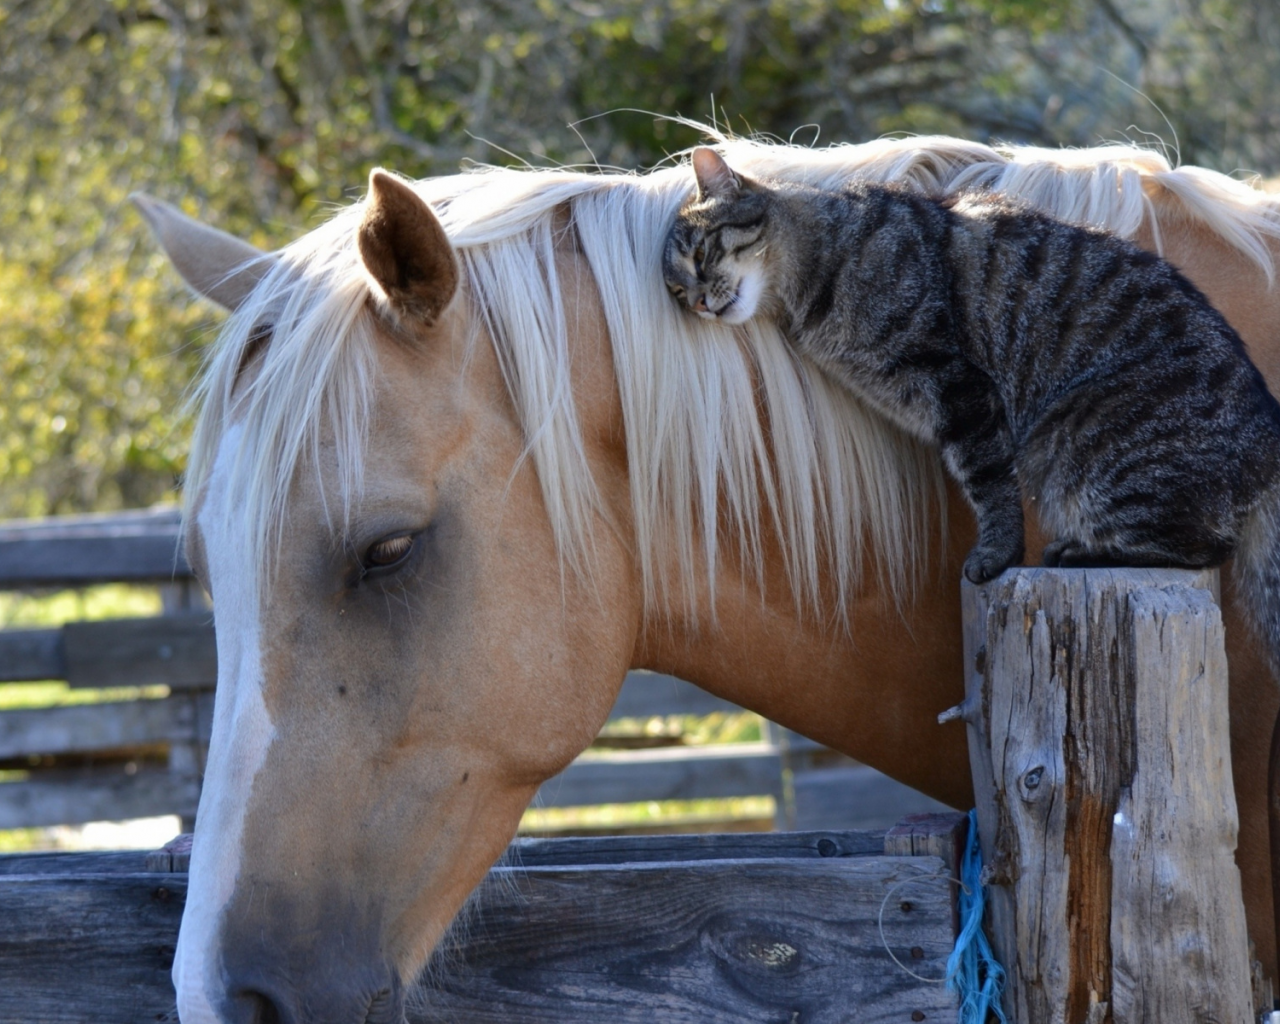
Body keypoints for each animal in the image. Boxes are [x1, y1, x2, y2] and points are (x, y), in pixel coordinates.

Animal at [665, 147, 1280, 660]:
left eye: (702, 253)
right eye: (675, 290)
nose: (698, 303)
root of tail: (1267, 435)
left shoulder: (960, 389)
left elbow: (989, 486)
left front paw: (997, 554)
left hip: (1080, 443)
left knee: (1202, 547)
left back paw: (1077, 552)